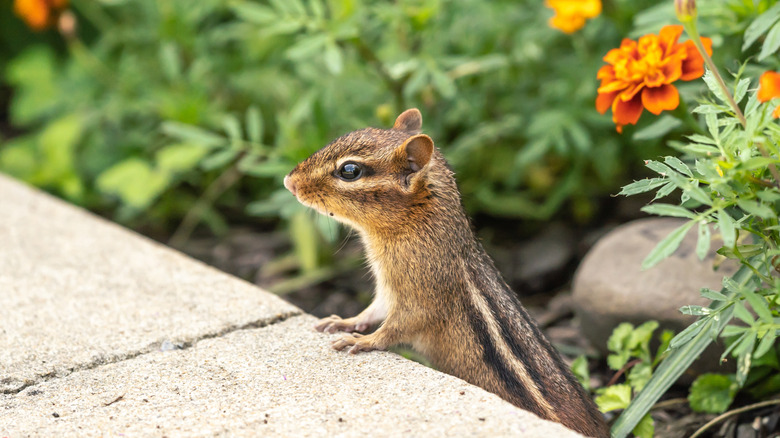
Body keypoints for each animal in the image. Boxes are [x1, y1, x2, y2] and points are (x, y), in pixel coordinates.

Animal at [283, 109, 609, 438]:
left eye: (350, 170)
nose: (289, 181)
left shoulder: (422, 295)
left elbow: (398, 326)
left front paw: (364, 341)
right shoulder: (388, 290)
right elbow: (372, 311)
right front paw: (343, 322)